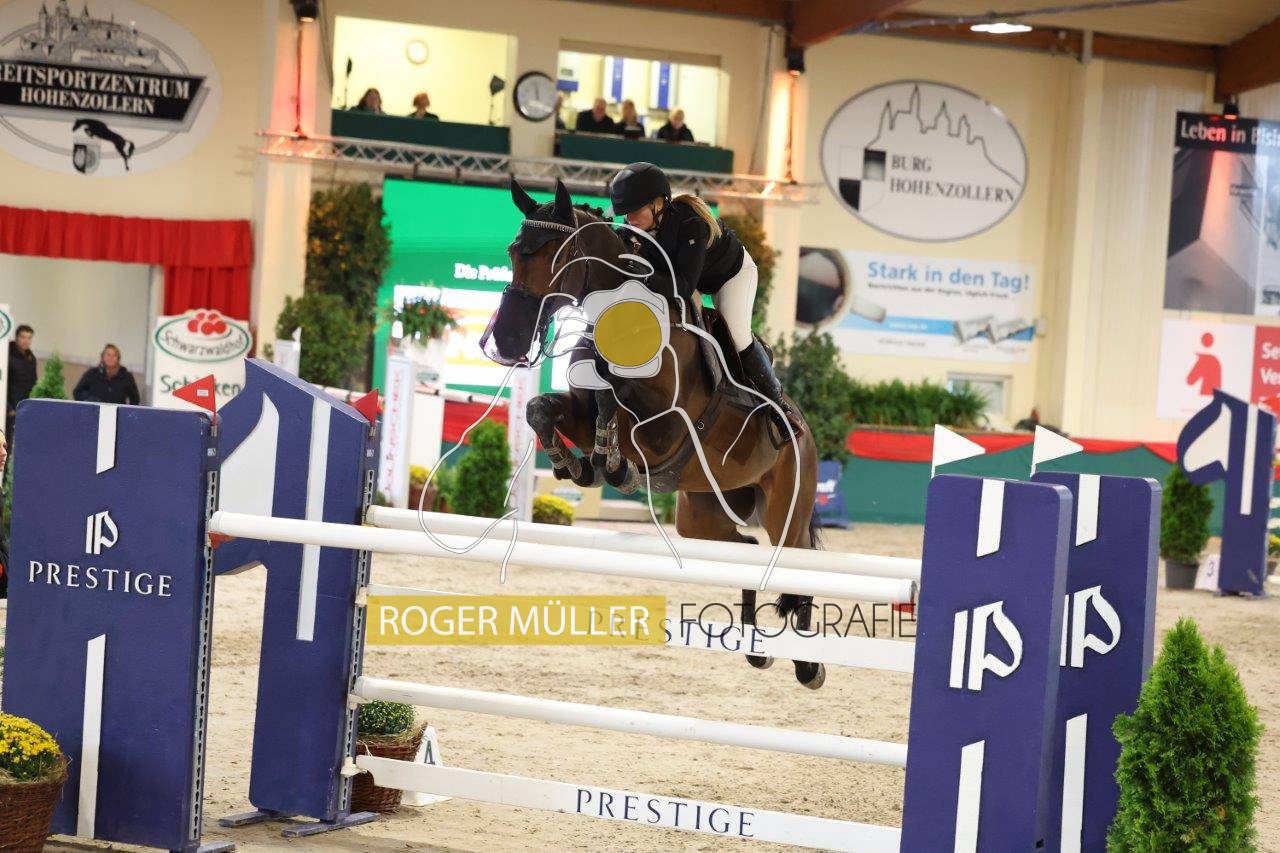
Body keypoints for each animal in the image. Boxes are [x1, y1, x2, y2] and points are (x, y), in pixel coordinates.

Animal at [481, 178, 826, 688]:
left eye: (556, 256)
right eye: (512, 251)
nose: (506, 340)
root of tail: (808, 434)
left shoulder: (667, 430)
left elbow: (617, 405)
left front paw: (611, 463)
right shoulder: (580, 410)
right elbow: (543, 409)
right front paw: (575, 466)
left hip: (786, 505)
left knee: (798, 560)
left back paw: (808, 665)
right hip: (702, 513)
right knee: (745, 549)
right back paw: (754, 649)